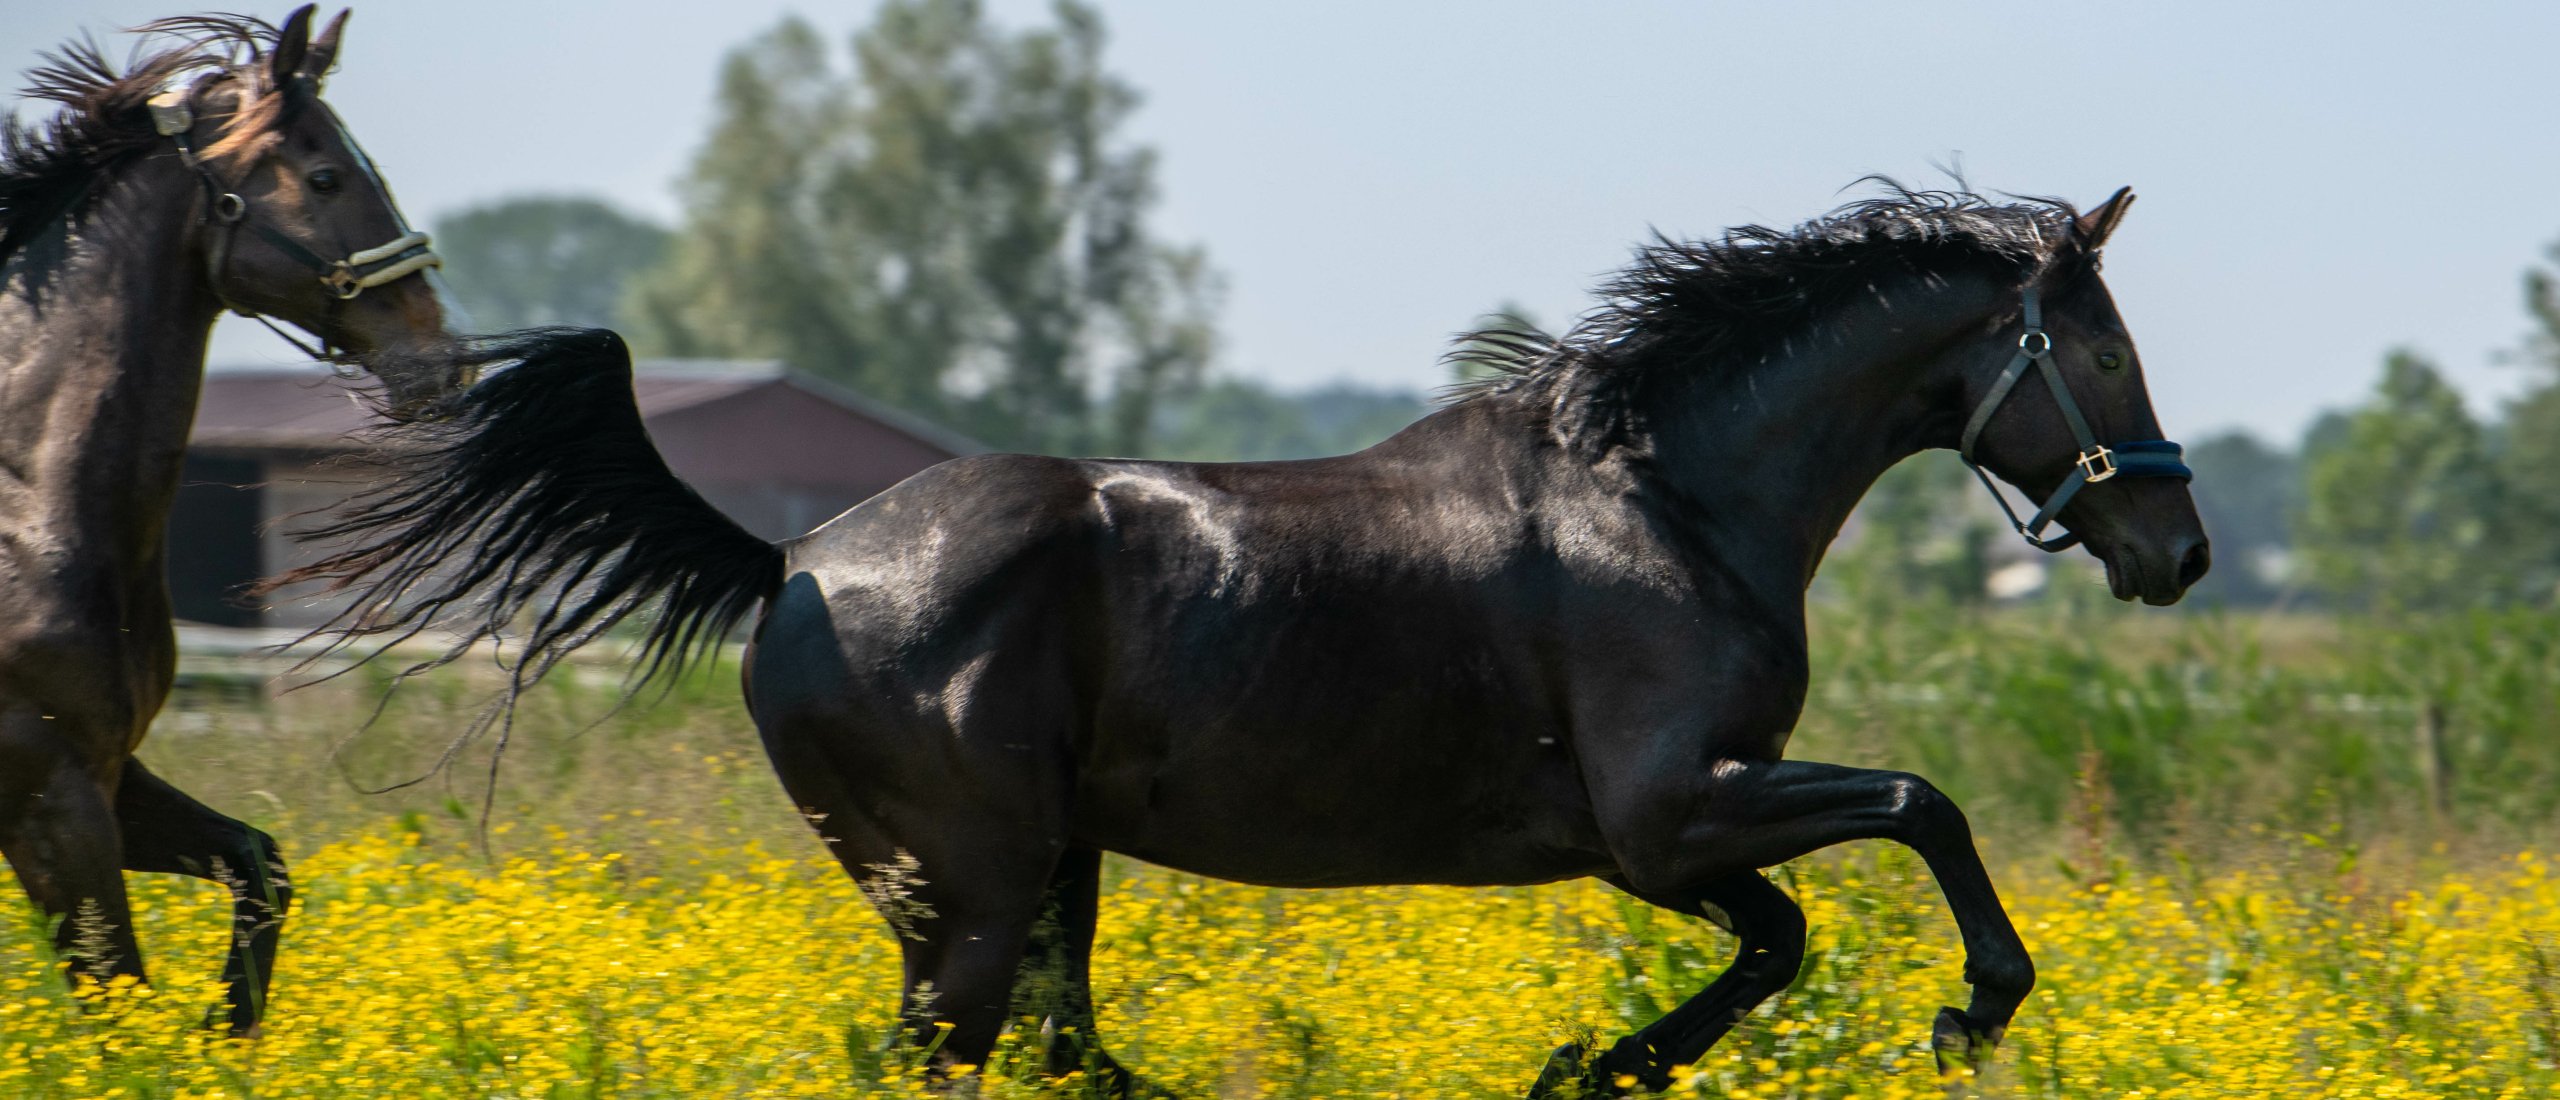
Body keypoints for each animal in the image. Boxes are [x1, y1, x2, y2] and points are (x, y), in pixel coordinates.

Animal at [0, 8, 455, 1033]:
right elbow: (118, 1003)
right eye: (325, 176)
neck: (29, 518)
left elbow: (261, 867)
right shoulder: (51, 800)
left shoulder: (111, 775)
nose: (443, 356)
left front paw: (225, 1035)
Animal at [280, 186, 2201, 1089]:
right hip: (971, 893)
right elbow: (1922, 810)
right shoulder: (1673, 811)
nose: (2175, 549)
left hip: (1040, 876)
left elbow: (1782, 941)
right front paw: (1972, 1013)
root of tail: (796, 562)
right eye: (2106, 352)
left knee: (1055, 1050)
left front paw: (1588, 1069)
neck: (1667, 497)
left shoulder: (1654, 845)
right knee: (957, 1055)